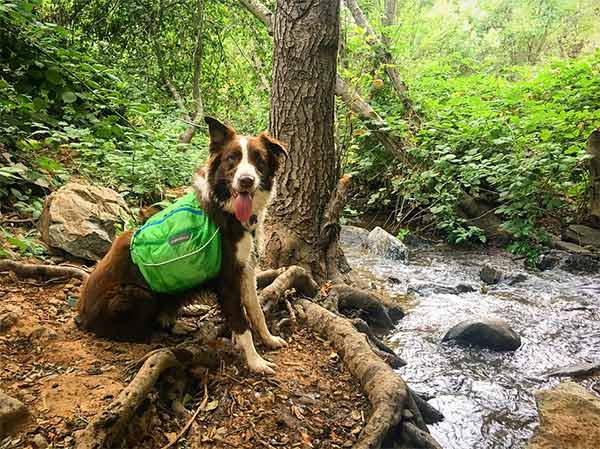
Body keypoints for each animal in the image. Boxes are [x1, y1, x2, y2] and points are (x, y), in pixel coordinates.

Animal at [76, 116, 288, 374]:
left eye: (259, 159)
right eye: (232, 158)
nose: (246, 181)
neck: (226, 207)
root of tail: (81, 315)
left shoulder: (246, 268)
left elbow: (256, 311)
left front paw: (269, 339)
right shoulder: (227, 279)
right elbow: (241, 322)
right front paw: (255, 362)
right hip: (136, 294)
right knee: (135, 331)